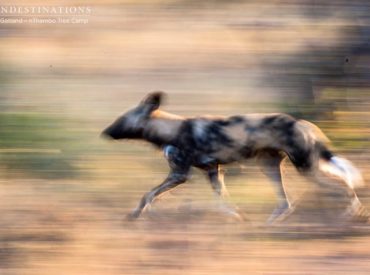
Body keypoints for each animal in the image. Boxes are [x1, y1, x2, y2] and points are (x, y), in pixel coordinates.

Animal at [101, 91, 364, 223]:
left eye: (121, 120)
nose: (105, 132)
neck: (171, 129)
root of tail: (301, 122)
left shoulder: (179, 174)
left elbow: (148, 194)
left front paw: (134, 215)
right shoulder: (212, 170)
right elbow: (223, 199)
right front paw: (237, 216)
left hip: (306, 168)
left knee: (343, 185)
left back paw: (351, 212)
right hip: (270, 166)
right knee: (286, 203)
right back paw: (270, 224)